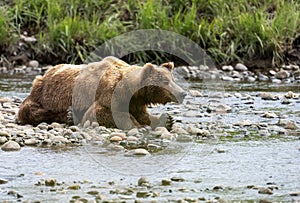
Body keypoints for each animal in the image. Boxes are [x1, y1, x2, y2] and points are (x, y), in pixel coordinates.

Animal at [17, 56, 186, 129]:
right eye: (165, 82)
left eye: (173, 79)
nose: (183, 93)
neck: (130, 90)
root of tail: (43, 75)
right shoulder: (109, 94)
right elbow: (100, 112)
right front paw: (136, 125)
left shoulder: (135, 102)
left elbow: (143, 115)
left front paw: (166, 119)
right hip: (42, 95)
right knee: (30, 111)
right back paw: (68, 115)